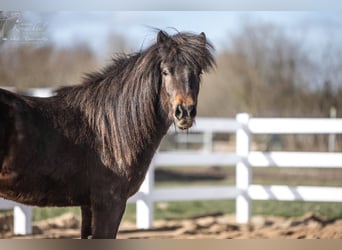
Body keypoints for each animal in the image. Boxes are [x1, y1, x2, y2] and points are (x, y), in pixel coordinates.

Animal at [0, 29, 214, 238]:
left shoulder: (88, 206)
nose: (184, 112)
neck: (109, 130)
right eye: (165, 71)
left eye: (198, 72)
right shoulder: (109, 204)